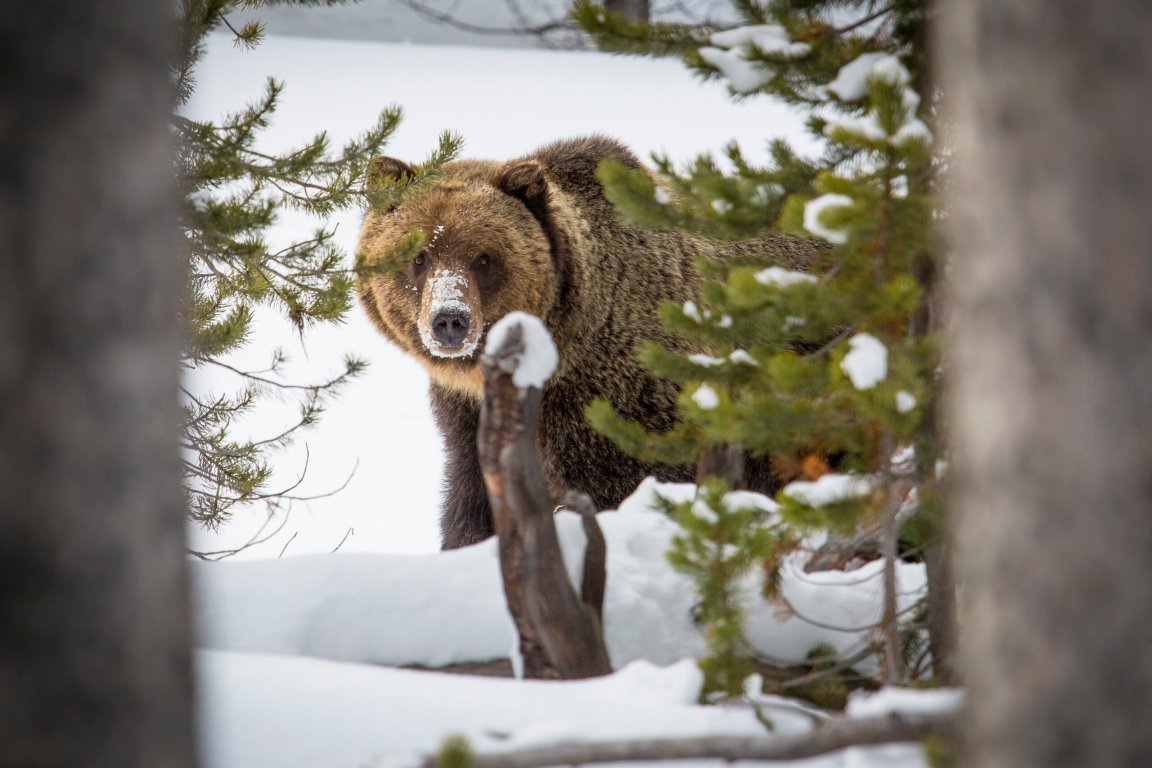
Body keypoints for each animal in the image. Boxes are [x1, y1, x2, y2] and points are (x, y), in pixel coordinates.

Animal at [356, 136, 821, 549]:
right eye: (418, 257)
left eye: (484, 258)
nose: (450, 319)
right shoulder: (467, 416)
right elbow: (473, 502)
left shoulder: (614, 403)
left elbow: (615, 488)